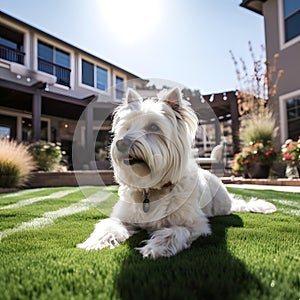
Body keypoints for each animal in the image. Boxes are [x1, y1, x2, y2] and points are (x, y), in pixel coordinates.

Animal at [78, 86, 276, 258]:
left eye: (153, 127)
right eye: (126, 128)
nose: (121, 143)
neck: (152, 190)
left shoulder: (196, 225)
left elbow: (175, 231)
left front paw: (155, 248)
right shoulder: (123, 217)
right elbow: (108, 226)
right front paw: (94, 243)